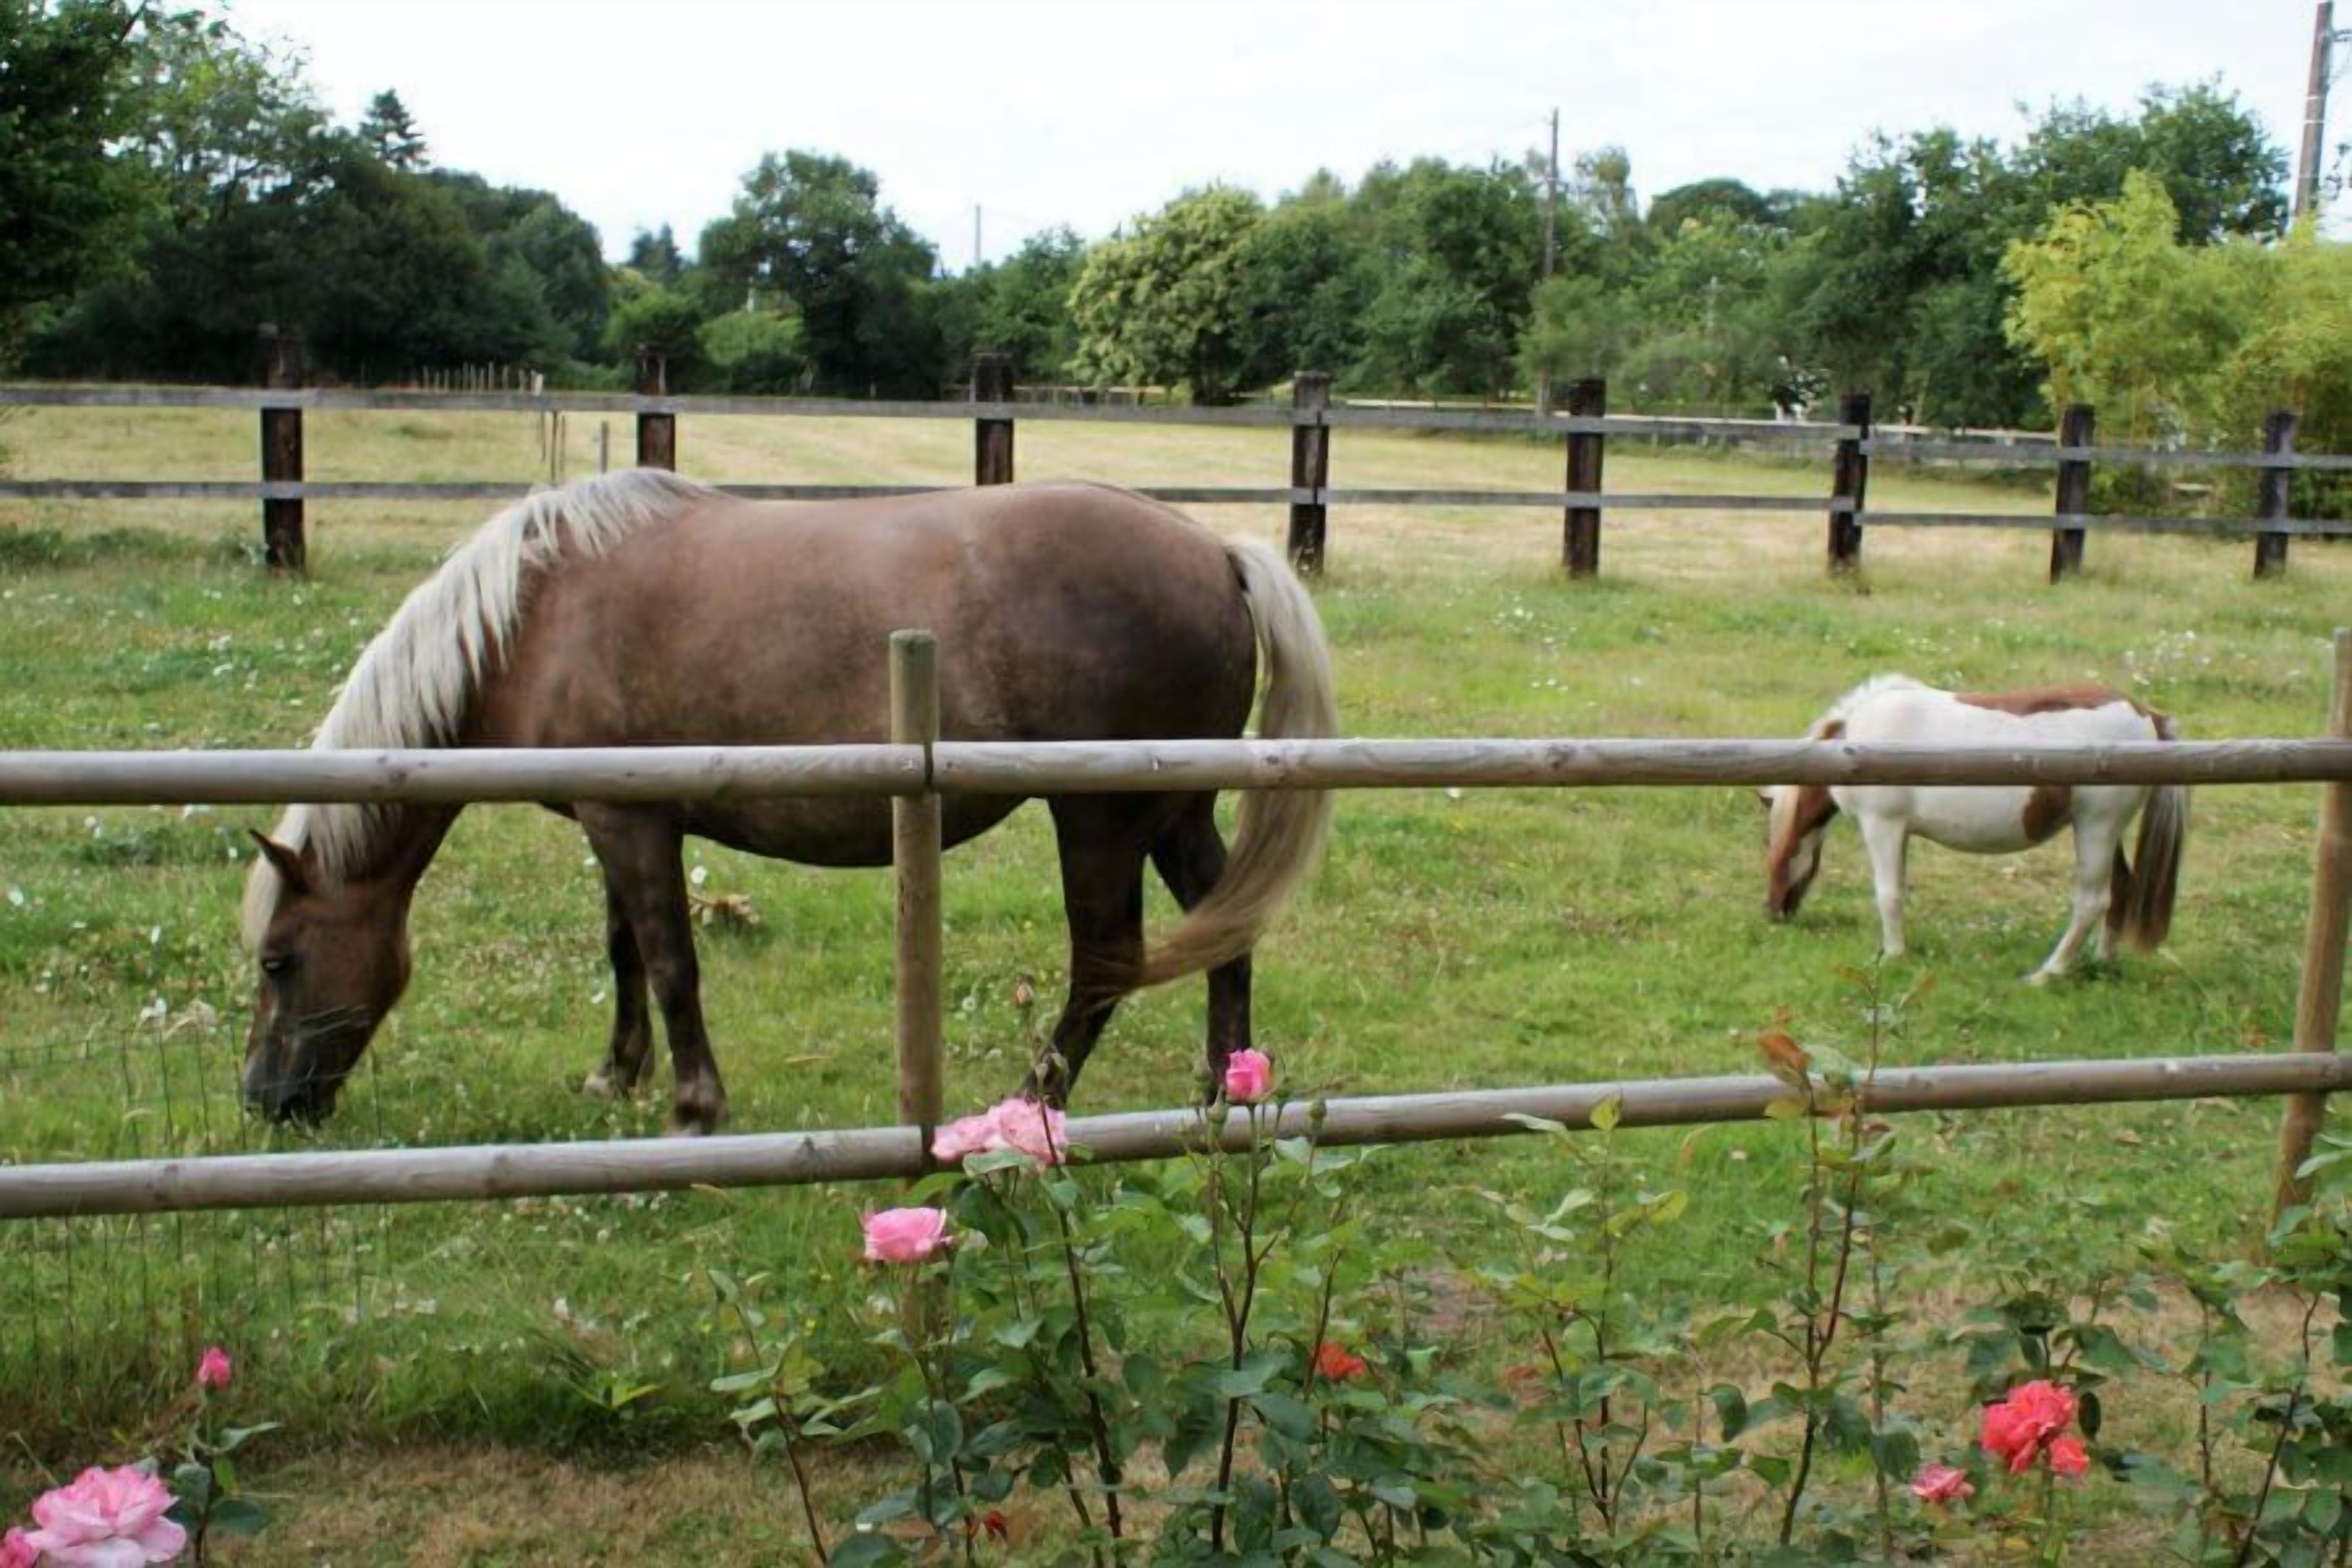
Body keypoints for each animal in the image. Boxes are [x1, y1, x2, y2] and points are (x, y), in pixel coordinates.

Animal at [239, 470, 1337, 1133]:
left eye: (278, 960)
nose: (262, 1101)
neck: (535, 614)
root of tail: (1216, 553)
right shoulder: (618, 820)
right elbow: (625, 951)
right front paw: (617, 1075)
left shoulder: (631, 826)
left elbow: (671, 965)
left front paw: (693, 1106)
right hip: (1173, 810)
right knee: (1224, 925)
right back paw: (1223, 1087)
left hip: (1101, 820)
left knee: (1105, 960)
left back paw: (1025, 1106)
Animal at [1759, 675, 2187, 984]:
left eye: (1770, 841)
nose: (1774, 912)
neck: (1855, 745)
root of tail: (2147, 715)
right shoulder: (1900, 834)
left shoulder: (1883, 826)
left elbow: (1888, 894)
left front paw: (1893, 956)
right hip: (2102, 831)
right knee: (2121, 890)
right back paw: (2103, 962)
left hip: (2096, 828)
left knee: (2092, 901)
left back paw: (2048, 973)